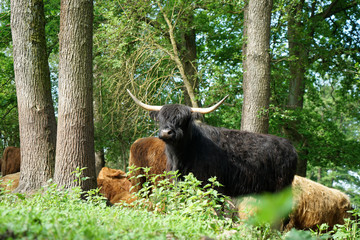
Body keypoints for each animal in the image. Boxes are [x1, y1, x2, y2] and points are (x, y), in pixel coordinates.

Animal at [128, 90, 296, 197]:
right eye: (161, 119)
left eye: (183, 119)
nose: (166, 132)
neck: (180, 156)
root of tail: (290, 146)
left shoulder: (212, 184)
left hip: (281, 188)